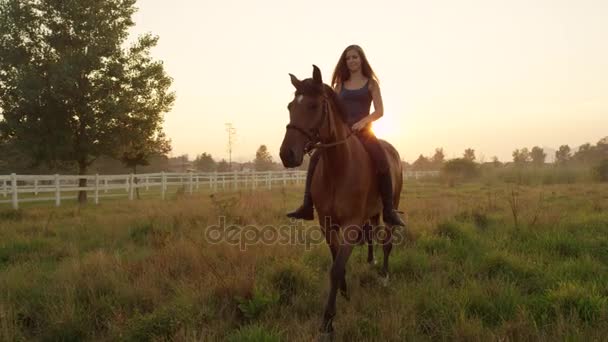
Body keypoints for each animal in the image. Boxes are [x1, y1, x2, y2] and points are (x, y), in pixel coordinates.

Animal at [280, 65, 404, 336]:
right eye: (290, 106)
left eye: (314, 106)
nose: (287, 155)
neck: (339, 168)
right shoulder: (327, 224)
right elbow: (337, 260)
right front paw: (345, 292)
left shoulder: (350, 224)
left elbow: (336, 268)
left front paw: (328, 320)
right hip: (371, 214)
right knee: (372, 236)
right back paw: (371, 261)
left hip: (390, 209)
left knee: (387, 242)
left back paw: (384, 276)